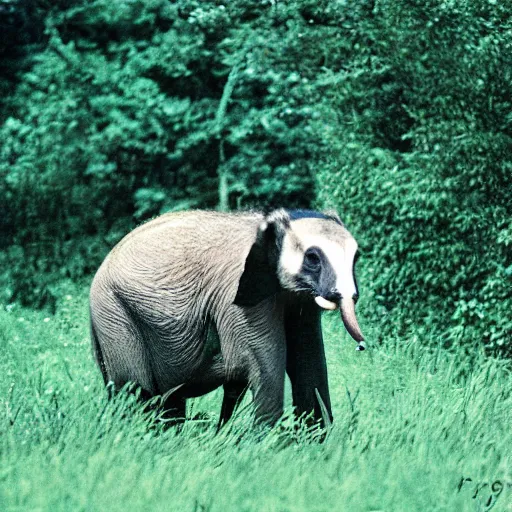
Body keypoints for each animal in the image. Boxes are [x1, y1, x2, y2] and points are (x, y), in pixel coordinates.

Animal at [91, 208, 364, 428]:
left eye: (356, 258)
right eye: (312, 258)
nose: (362, 346)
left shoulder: (299, 302)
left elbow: (309, 358)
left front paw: (316, 441)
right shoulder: (236, 296)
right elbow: (256, 363)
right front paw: (267, 445)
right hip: (114, 313)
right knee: (134, 388)